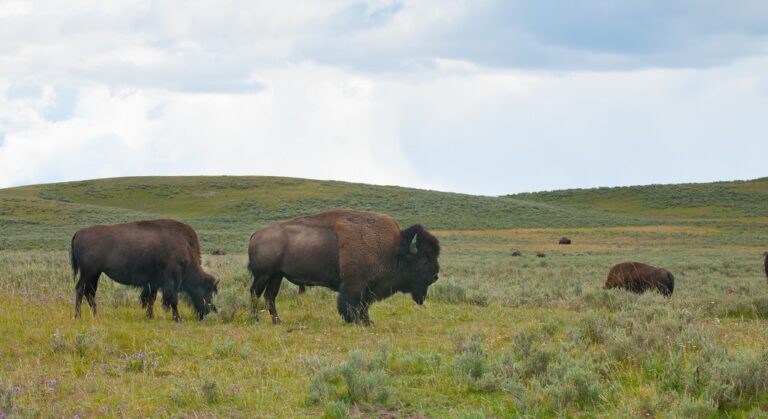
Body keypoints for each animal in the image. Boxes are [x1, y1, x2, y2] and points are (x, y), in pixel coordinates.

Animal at [70, 219, 219, 321]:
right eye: (208, 290)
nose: (209, 310)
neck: (185, 247)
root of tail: (78, 233)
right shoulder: (172, 281)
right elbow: (172, 300)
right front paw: (178, 318)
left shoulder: (153, 283)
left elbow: (151, 299)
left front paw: (150, 316)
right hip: (88, 273)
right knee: (80, 290)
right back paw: (78, 316)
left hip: (95, 274)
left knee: (89, 293)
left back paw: (96, 315)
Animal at [247, 209, 441, 325]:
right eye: (423, 259)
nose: (436, 276)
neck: (392, 248)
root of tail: (256, 234)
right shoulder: (354, 284)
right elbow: (351, 304)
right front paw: (356, 322)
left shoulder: (366, 287)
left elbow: (364, 306)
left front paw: (367, 322)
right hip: (263, 275)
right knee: (255, 293)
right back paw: (256, 320)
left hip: (276, 275)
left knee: (269, 297)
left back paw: (277, 322)